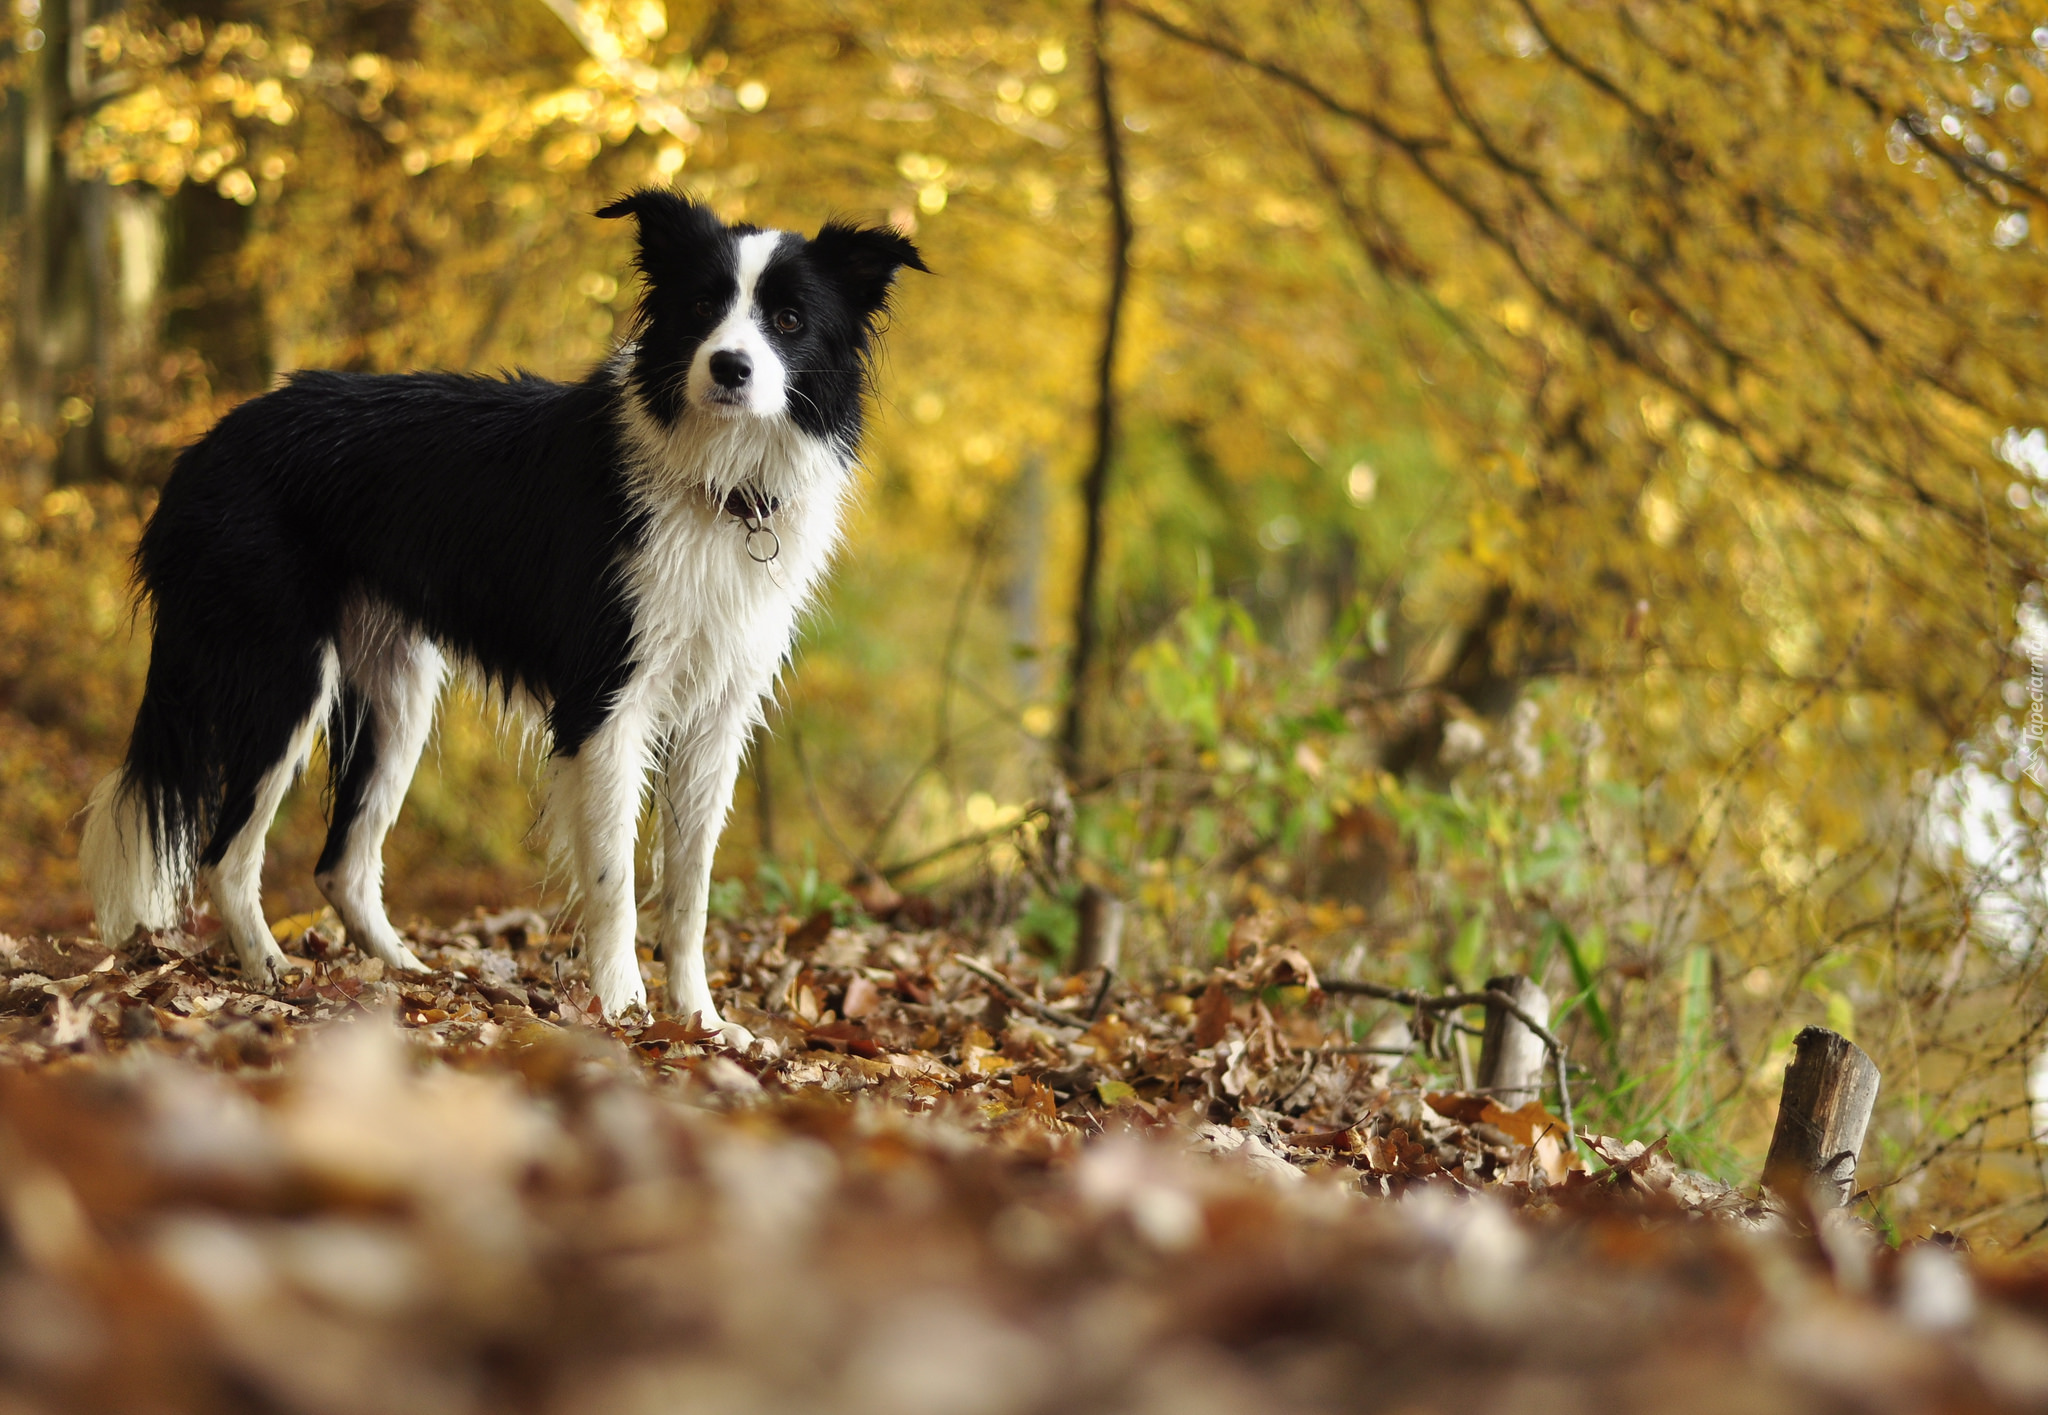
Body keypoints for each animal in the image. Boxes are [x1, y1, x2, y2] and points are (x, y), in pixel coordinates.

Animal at [79, 191, 925, 1048]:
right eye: (700, 306)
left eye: (788, 319)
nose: (728, 366)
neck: (718, 481)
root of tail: (204, 448)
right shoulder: (605, 704)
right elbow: (615, 882)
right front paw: (626, 1013)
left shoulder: (716, 719)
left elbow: (690, 892)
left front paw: (702, 1021)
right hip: (284, 674)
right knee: (225, 854)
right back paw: (271, 976)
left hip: (398, 695)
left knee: (340, 864)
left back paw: (409, 975)